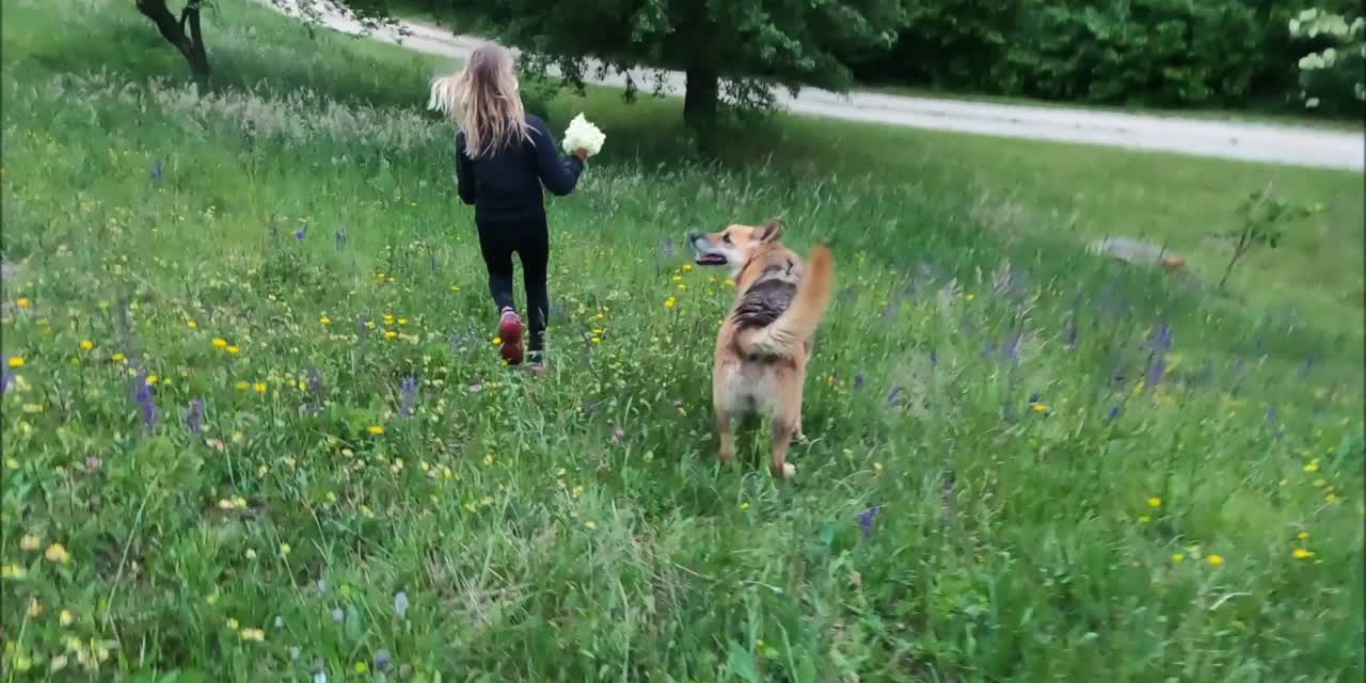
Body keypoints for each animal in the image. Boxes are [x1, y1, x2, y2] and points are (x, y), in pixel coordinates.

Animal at [693, 219, 830, 480]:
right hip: (784, 414)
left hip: (725, 410)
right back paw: (788, 471)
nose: (692, 235)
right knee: (776, 461)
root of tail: (751, 337)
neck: (767, 253)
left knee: (728, 453)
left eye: (726, 237)